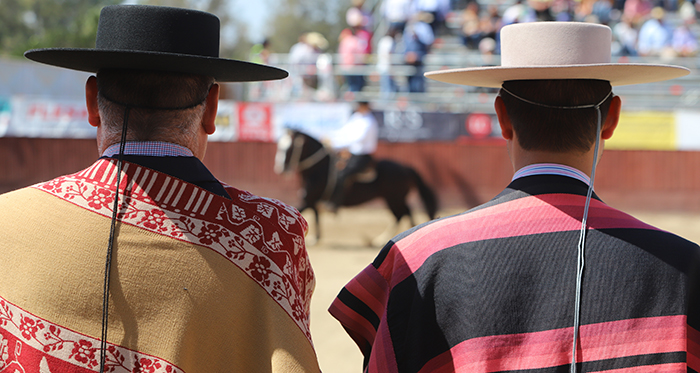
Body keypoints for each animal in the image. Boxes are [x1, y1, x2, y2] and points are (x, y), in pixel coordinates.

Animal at [274, 129, 434, 244]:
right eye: (280, 146)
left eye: (290, 148)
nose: (280, 169)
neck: (320, 169)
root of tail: (406, 168)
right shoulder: (312, 200)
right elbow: (316, 216)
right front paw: (317, 237)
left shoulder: (308, 200)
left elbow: (300, 211)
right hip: (394, 199)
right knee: (402, 214)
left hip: (394, 199)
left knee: (403, 213)